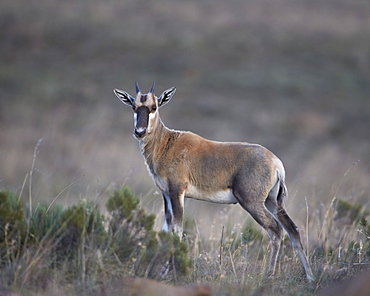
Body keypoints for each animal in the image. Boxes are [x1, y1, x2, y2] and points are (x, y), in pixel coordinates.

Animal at [113, 82, 316, 280]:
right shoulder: (166, 195)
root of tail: (275, 163)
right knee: (292, 229)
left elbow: (177, 231)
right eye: (134, 106)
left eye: (154, 107)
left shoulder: (177, 192)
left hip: (252, 202)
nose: (139, 132)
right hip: (273, 202)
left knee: (275, 229)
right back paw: (310, 277)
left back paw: (269, 275)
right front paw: (162, 273)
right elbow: (166, 230)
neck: (169, 142)